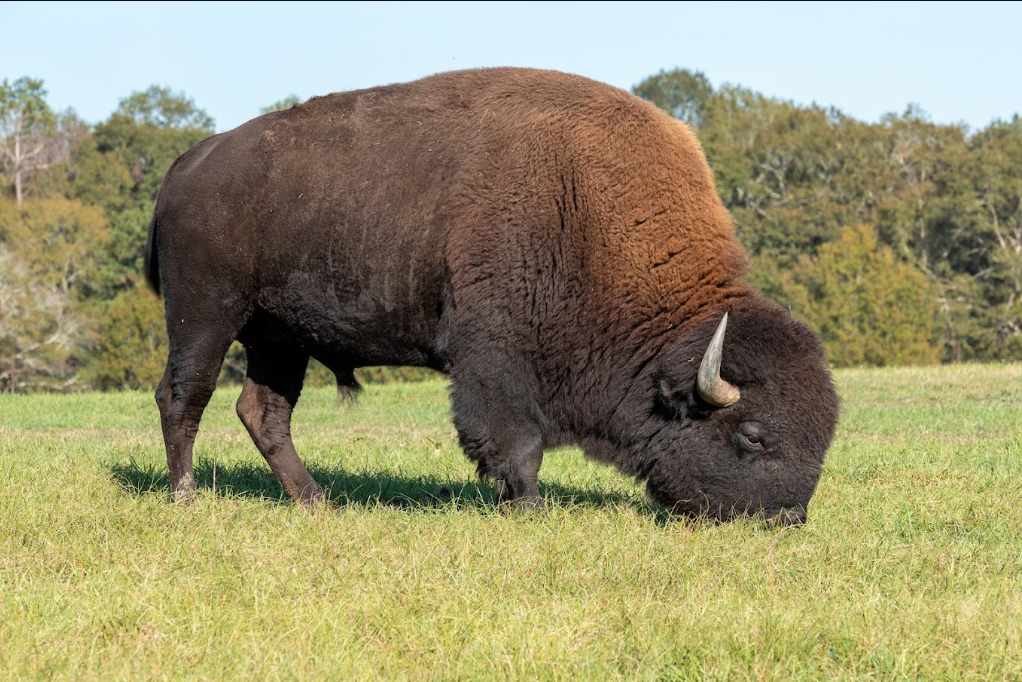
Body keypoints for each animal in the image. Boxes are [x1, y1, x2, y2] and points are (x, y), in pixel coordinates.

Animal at [145, 68, 839, 524]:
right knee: (184, 395)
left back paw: (317, 501)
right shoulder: (495, 359)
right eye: (753, 436)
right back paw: (187, 498)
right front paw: (530, 508)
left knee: (263, 411)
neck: (591, 214)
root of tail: (188, 163)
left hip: (279, 335)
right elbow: (512, 442)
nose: (788, 519)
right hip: (206, 314)